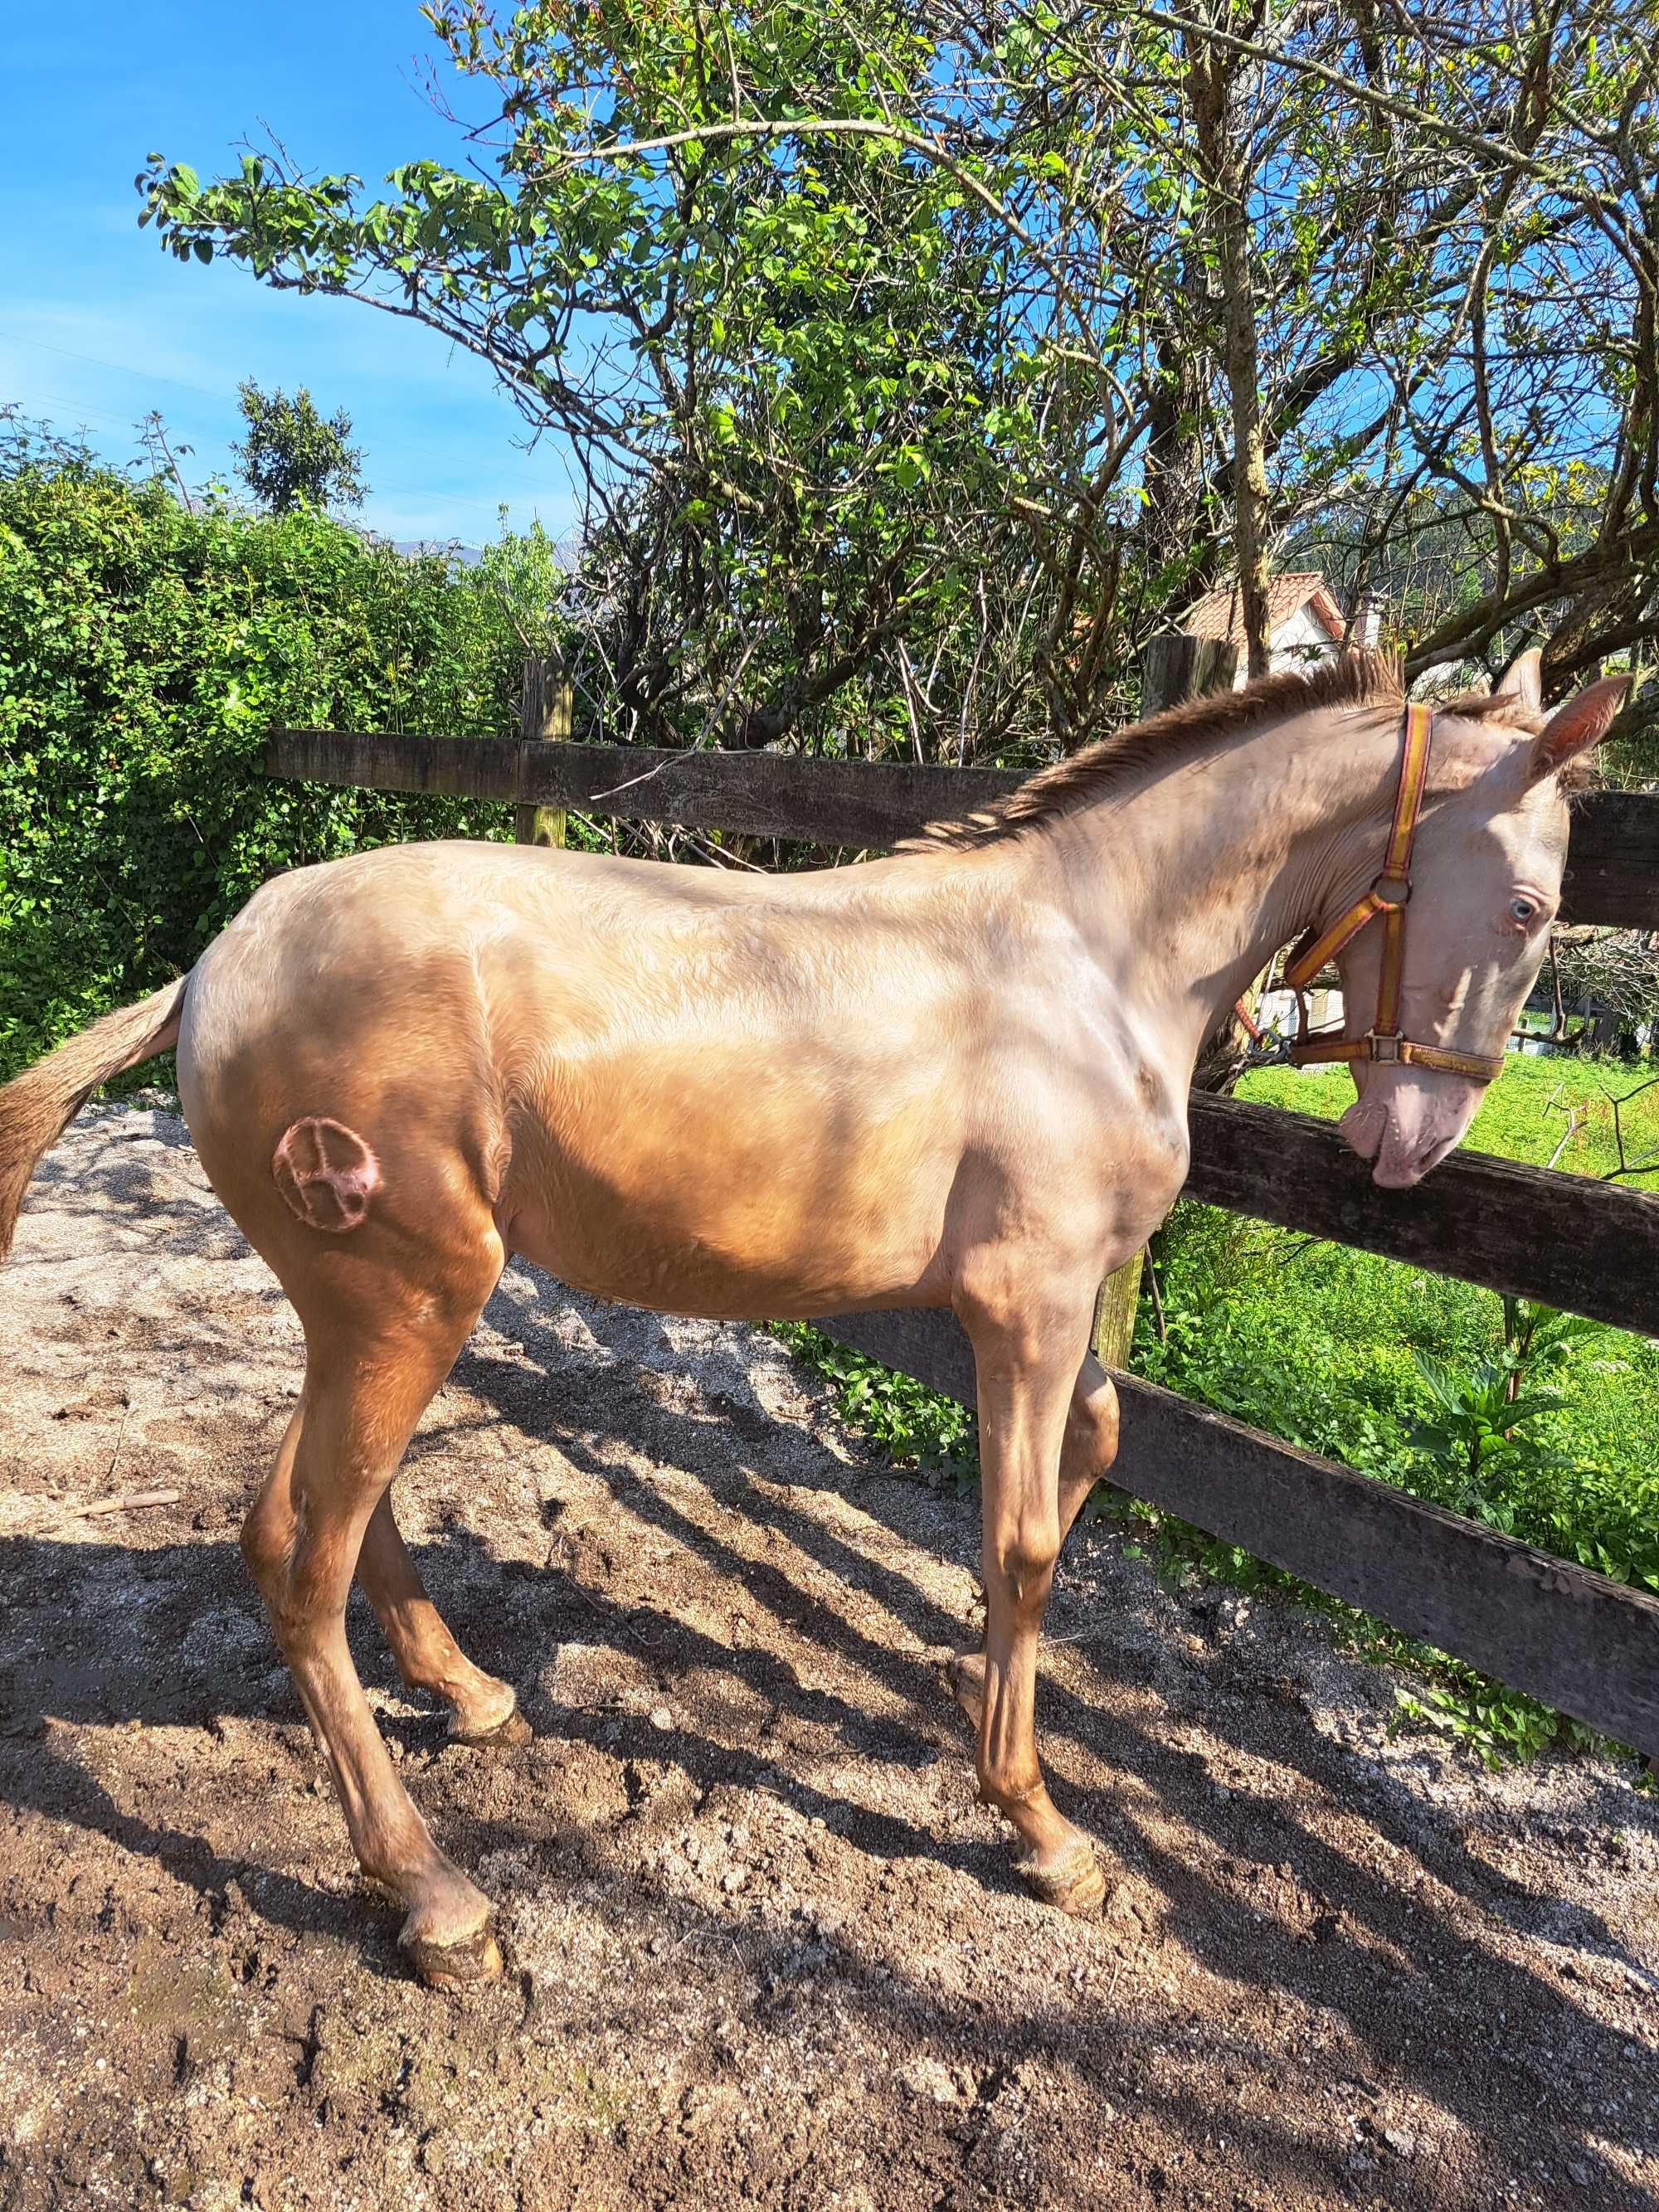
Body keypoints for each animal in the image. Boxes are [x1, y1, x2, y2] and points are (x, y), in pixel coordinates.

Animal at [0, 645, 1627, 1981]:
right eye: (1533, 903)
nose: (1414, 1141)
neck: (1086, 964)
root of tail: (208, 970)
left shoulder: (1055, 1312)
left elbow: (1094, 1453)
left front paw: (968, 1703)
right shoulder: (1029, 1304)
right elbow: (1025, 1543)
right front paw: (1041, 1827)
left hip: (374, 1303)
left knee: (332, 1507)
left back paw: (466, 1691)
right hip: (408, 1296)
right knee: (299, 1550)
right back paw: (433, 1895)